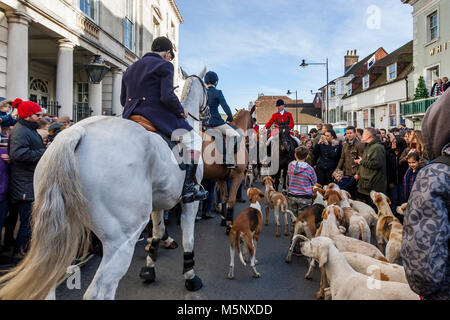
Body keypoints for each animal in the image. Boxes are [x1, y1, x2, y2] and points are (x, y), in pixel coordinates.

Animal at [0, 70, 209, 300]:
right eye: (207, 89)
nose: (207, 115)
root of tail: (75, 132)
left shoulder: (158, 203)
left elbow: (157, 231)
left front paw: (149, 268)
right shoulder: (189, 203)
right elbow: (188, 239)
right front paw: (191, 276)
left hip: (60, 232)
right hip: (121, 237)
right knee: (99, 291)